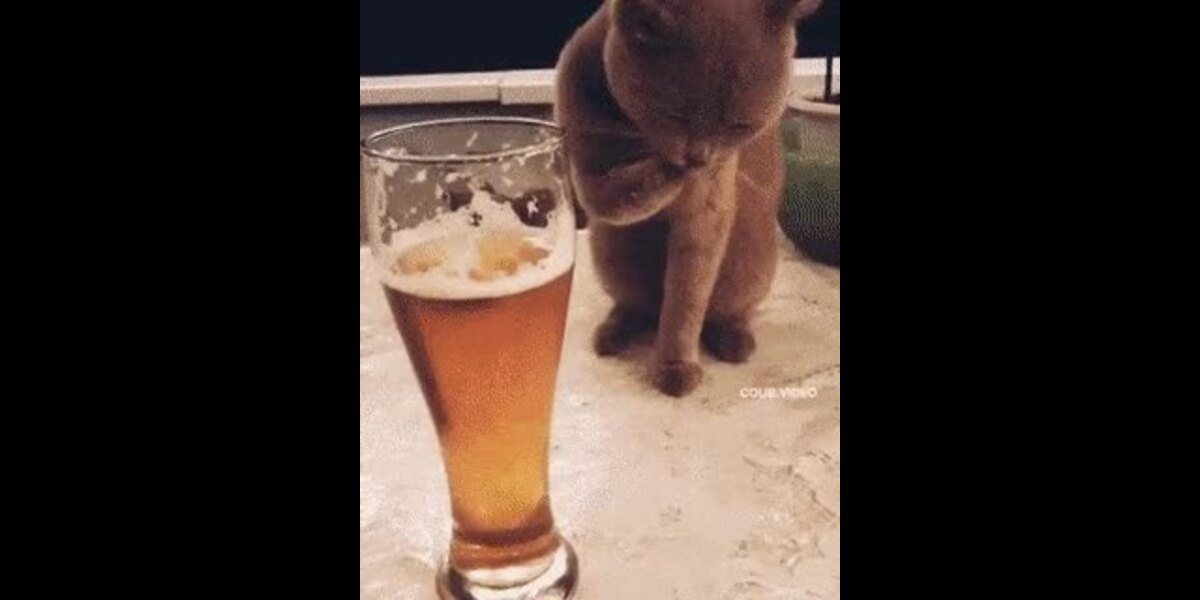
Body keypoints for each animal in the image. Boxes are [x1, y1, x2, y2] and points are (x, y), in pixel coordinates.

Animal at [555, 0, 821, 396]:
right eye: (675, 114)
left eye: (739, 125)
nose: (699, 158)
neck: (633, 132)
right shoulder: (581, 160)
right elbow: (610, 194)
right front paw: (666, 175)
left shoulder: (710, 204)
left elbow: (687, 296)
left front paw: (675, 367)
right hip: (612, 251)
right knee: (634, 304)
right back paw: (612, 335)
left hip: (751, 261)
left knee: (724, 310)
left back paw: (735, 342)